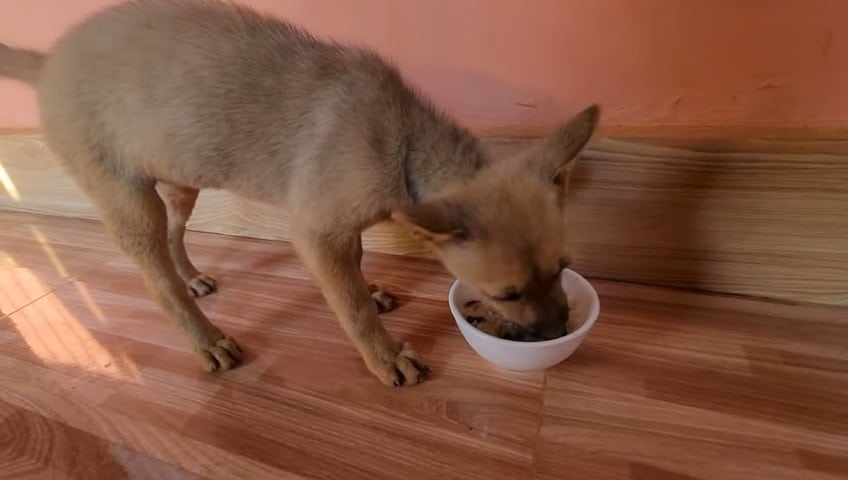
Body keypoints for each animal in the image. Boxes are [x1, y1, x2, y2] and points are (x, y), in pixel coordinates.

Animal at [1, 0, 596, 388]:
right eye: (506, 295)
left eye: (564, 268)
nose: (559, 332)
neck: (402, 142)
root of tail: (48, 61)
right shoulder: (316, 232)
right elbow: (352, 307)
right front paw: (384, 356)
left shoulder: (339, 224)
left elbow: (355, 267)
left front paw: (371, 286)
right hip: (129, 200)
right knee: (156, 279)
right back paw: (204, 339)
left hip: (179, 178)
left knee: (174, 236)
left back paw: (191, 277)